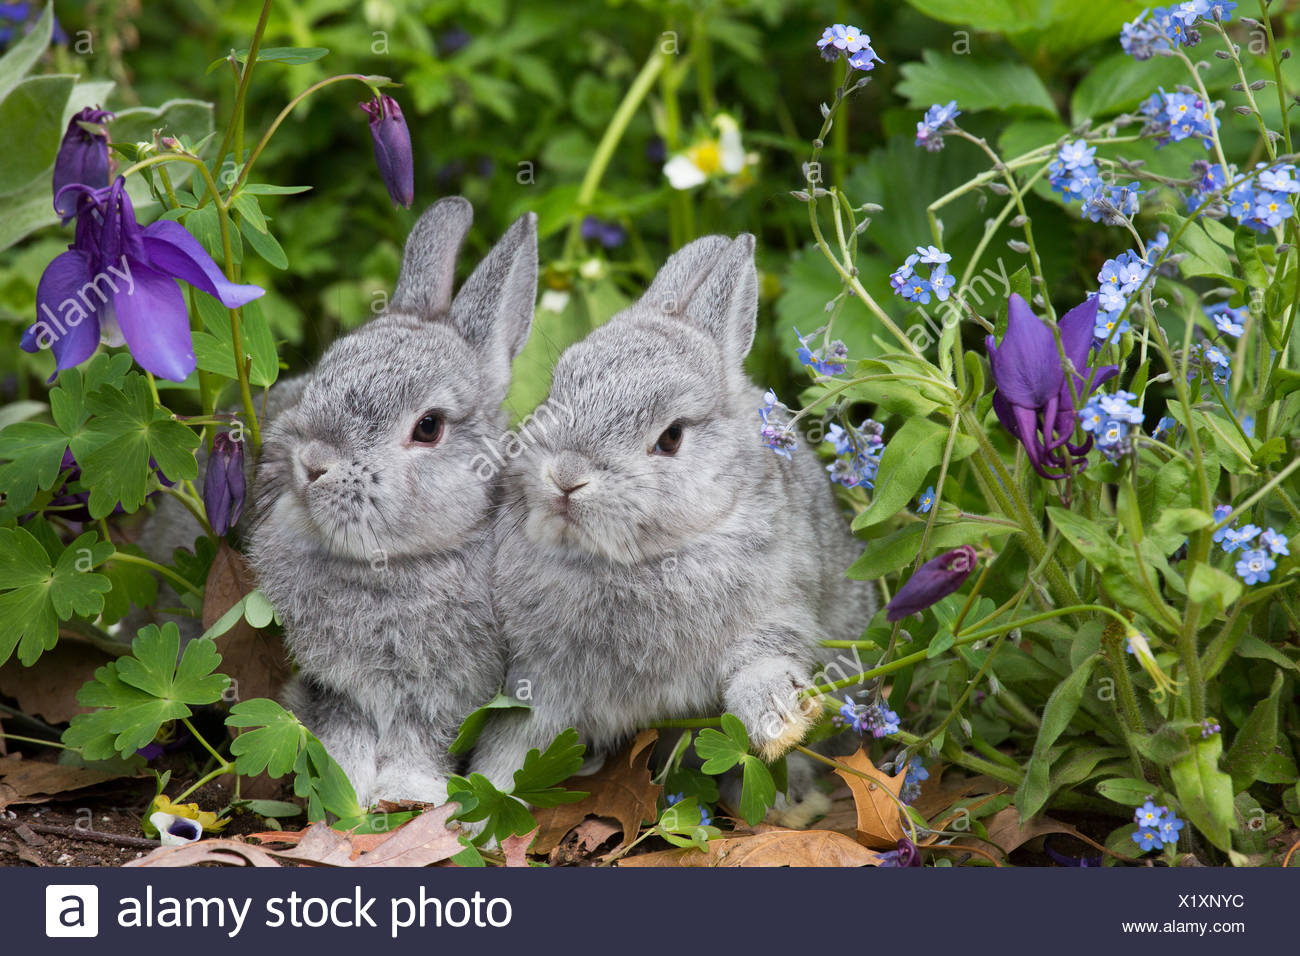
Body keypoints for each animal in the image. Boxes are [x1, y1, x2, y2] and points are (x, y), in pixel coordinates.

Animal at [245, 200, 535, 806]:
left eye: (428, 427)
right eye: (322, 377)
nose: (311, 464)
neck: (394, 565)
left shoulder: (448, 694)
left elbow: (421, 741)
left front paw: (409, 794)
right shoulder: (334, 685)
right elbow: (345, 731)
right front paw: (343, 787)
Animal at [473, 234, 878, 822]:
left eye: (671, 437)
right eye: (557, 388)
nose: (566, 476)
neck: (641, 560)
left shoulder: (779, 614)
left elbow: (763, 665)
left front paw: (780, 723)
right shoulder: (538, 683)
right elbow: (513, 748)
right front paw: (480, 807)